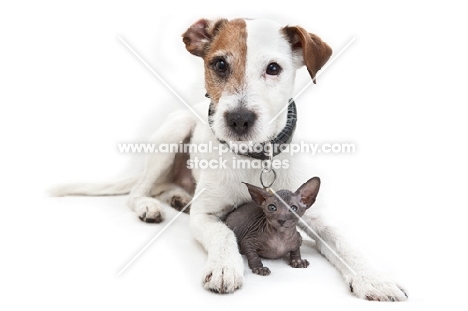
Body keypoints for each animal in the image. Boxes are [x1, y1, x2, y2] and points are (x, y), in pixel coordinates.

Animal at [53, 17, 408, 302]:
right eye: (220, 64)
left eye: (274, 68)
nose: (239, 119)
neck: (254, 157)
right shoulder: (205, 216)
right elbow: (224, 233)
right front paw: (225, 266)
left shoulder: (317, 217)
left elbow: (345, 243)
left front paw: (374, 278)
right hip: (173, 131)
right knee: (138, 191)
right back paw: (149, 206)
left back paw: (177, 196)